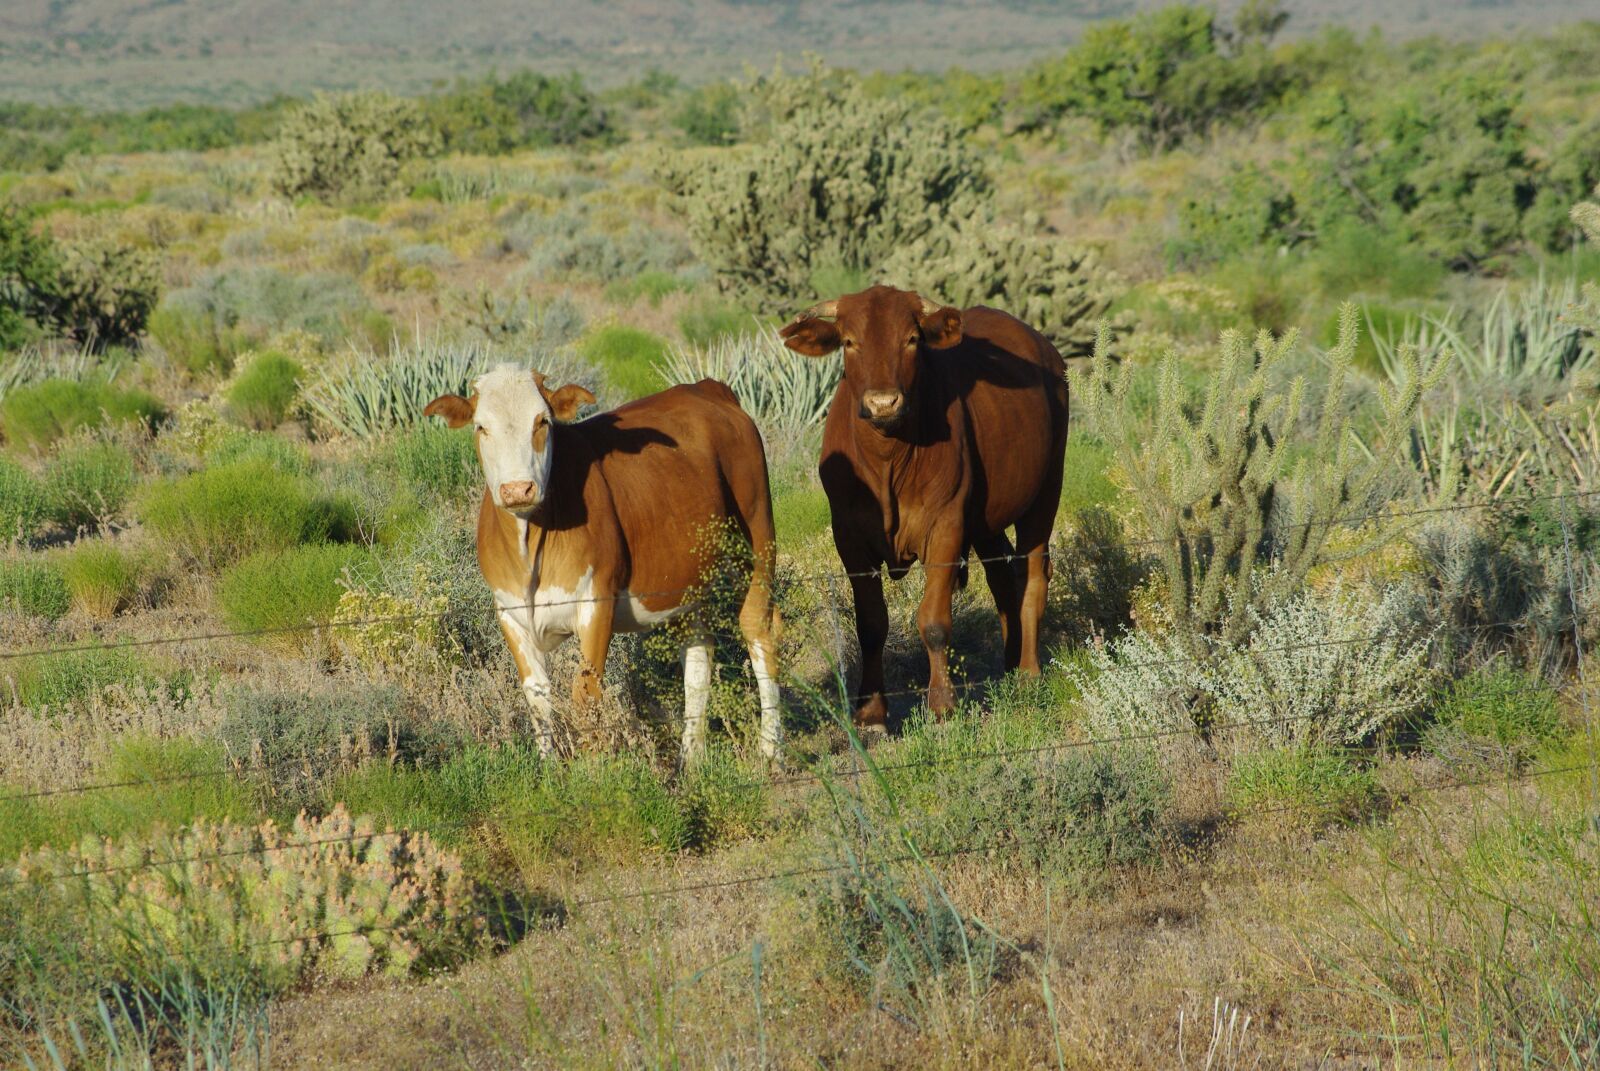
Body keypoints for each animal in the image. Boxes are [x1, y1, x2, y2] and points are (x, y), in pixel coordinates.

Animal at [422, 368, 777, 758]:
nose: (517, 490)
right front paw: (548, 766)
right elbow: (538, 699)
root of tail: (708, 389)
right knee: (699, 656)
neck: (530, 545)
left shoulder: (596, 603)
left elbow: (585, 694)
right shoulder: (509, 612)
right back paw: (691, 757)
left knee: (759, 630)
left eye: (542, 421)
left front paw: (594, 768)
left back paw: (770, 749)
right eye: (481, 426)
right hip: (689, 579)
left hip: (757, 537)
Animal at [780, 281, 1068, 726]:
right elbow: (870, 624)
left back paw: (1028, 673)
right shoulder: (849, 536)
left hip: (1045, 492)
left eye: (912, 339)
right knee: (1002, 576)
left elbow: (933, 621)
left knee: (1033, 575)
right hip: (986, 520)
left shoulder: (946, 525)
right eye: (849, 341)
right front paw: (871, 714)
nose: (883, 403)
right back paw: (1007, 665)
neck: (889, 460)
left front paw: (943, 705)